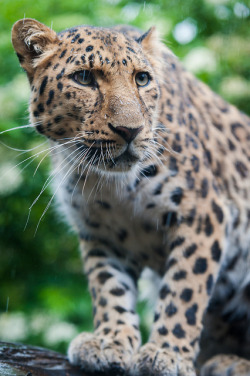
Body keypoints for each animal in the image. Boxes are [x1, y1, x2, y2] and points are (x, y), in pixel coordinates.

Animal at [11, 18, 250, 376]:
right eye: (84, 78)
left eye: (142, 79)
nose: (130, 130)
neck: (108, 183)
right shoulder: (99, 232)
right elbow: (108, 287)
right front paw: (108, 341)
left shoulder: (204, 213)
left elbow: (185, 288)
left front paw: (167, 353)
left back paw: (230, 363)